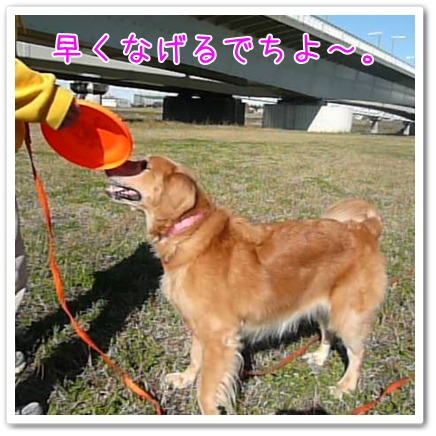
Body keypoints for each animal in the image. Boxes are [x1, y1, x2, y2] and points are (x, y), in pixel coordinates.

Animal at [105, 156, 386, 415]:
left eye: (143, 165)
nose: (108, 167)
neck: (189, 233)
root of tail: (365, 228)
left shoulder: (219, 337)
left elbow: (206, 389)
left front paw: (208, 411)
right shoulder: (199, 326)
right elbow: (195, 358)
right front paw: (185, 378)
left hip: (348, 314)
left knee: (357, 352)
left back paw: (346, 386)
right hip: (323, 305)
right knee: (327, 333)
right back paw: (319, 357)